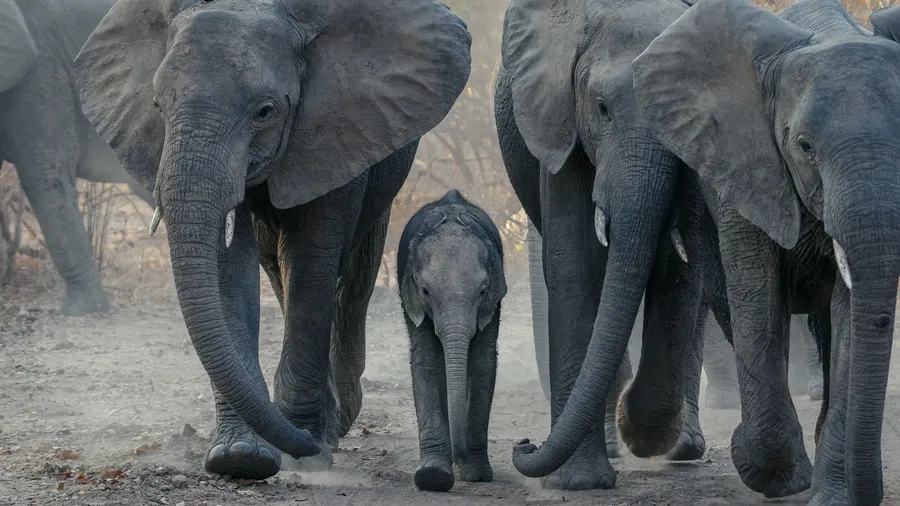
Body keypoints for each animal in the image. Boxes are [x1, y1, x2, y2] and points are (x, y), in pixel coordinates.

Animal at [73, 0, 471, 480]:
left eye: (264, 111)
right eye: (157, 106)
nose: (298, 443)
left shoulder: (338, 127)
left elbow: (312, 263)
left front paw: (308, 451)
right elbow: (229, 270)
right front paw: (240, 456)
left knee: (351, 278)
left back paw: (337, 421)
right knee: (278, 269)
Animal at [399, 189, 506, 492]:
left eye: (482, 291)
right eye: (425, 291)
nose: (460, 457)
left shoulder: (493, 302)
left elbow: (482, 363)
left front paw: (476, 475)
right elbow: (427, 363)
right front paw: (432, 476)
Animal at [495, 0, 723, 490]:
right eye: (602, 109)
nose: (524, 444)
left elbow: (682, 270)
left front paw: (642, 433)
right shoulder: (561, 121)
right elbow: (575, 263)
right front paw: (579, 482)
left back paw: (679, 446)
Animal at [633, 0, 900, 502]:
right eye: (804, 146)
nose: (867, 489)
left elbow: (848, 319)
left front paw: (832, 496)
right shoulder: (744, 164)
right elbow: (758, 300)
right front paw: (776, 477)